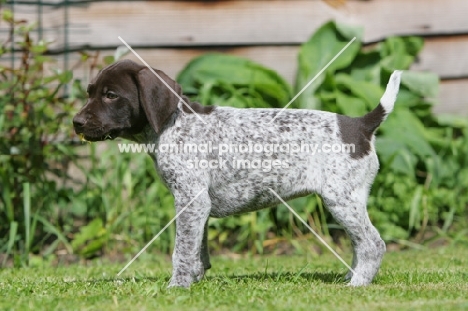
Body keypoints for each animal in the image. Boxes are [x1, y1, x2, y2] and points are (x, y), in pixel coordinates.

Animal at [74, 59, 402, 288]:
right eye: (90, 93)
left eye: (111, 95)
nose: (76, 122)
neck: (173, 124)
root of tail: (360, 124)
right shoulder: (197, 204)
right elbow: (198, 248)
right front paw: (195, 279)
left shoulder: (191, 200)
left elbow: (182, 250)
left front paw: (177, 286)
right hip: (349, 201)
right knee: (360, 244)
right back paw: (351, 277)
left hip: (341, 199)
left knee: (373, 244)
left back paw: (357, 284)